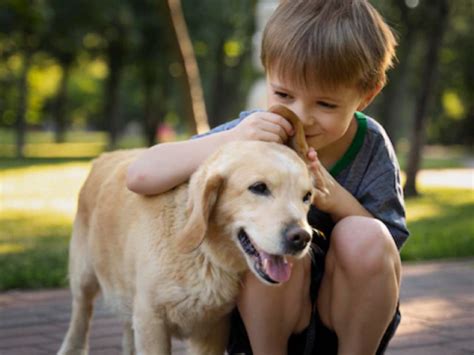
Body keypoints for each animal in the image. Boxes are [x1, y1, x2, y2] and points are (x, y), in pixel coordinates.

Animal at [57, 105, 314, 355]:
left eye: (307, 196)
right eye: (259, 187)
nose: (302, 238)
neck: (204, 254)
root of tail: (105, 155)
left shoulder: (212, 330)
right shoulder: (151, 321)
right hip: (84, 275)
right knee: (81, 312)